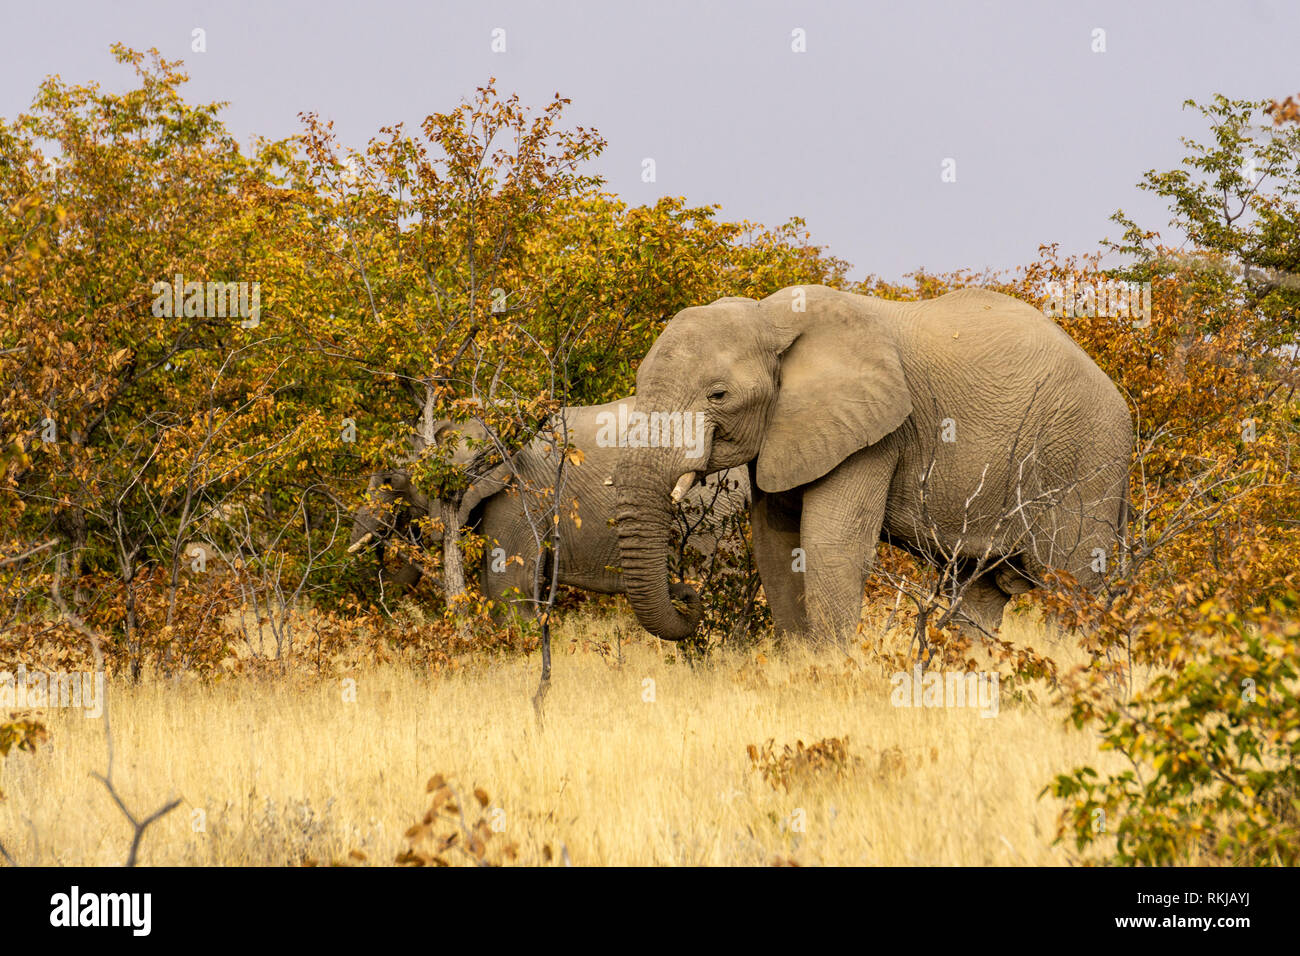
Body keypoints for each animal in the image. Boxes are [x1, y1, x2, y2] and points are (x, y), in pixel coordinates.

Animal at [613, 284, 1132, 643]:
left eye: (718, 395)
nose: (686, 595)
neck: (771, 316)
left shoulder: (875, 434)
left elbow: (831, 546)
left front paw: (829, 672)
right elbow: (776, 547)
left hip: (1083, 457)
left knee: (1071, 583)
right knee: (979, 590)